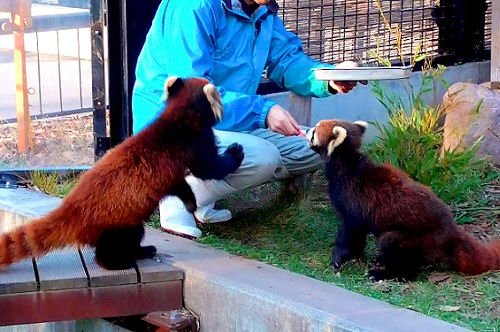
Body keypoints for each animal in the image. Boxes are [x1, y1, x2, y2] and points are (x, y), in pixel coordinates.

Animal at [0, 77, 244, 270]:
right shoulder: (197, 142)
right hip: (118, 222)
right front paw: (235, 153)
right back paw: (121, 260)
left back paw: (142, 251)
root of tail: (72, 208)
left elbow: (181, 187)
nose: (225, 98)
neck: (180, 114)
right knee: (120, 241)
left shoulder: (172, 175)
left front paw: (191, 202)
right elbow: (208, 168)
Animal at [306, 119, 498, 280]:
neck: (346, 164)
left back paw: (384, 273)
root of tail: (451, 231)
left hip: (410, 238)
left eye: (315, 131)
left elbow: (349, 233)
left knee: (400, 256)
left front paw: (338, 258)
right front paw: (355, 255)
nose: (306, 130)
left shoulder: (353, 203)